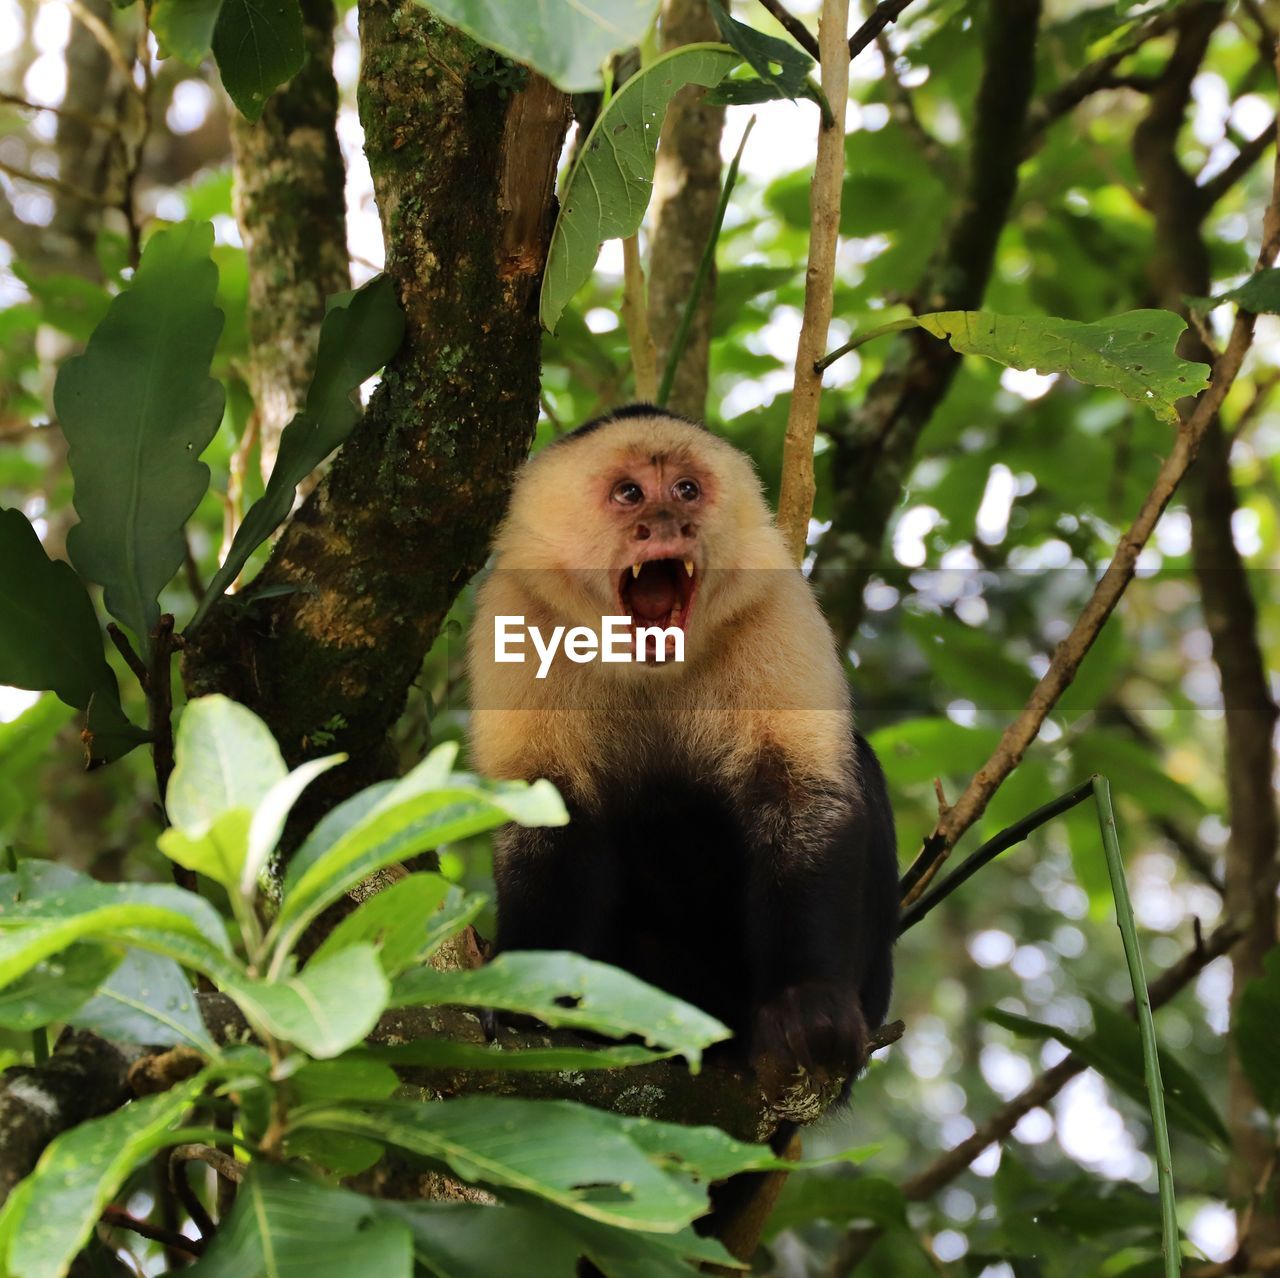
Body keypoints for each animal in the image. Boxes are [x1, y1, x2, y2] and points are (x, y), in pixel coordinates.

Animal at [465, 407, 896, 1101]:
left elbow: (800, 796)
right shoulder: (517, 607)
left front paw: (806, 1003)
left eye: (687, 490)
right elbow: (546, 815)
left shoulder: (774, 601)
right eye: (630, 494)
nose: (669, 523)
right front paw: (526, 1003)